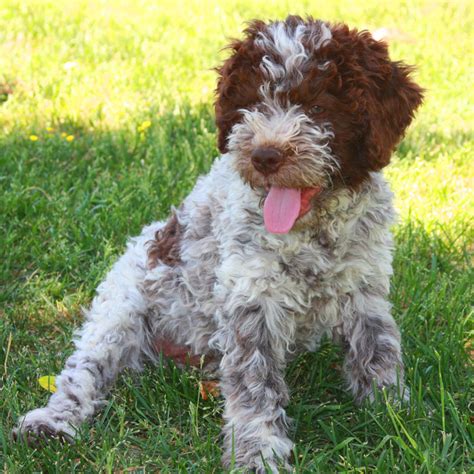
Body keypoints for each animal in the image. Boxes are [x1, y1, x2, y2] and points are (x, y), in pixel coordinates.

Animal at [13, 15, 422, 474]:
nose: (264, 156)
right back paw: (51, 422)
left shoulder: (364, 288)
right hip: (119, 309)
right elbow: (255, 386)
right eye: (253, 104)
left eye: (318, 108)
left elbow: (379, 350)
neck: (313, 230)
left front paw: (394, 415)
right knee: (82, 371)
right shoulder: (252, 301)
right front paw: (259, 452)